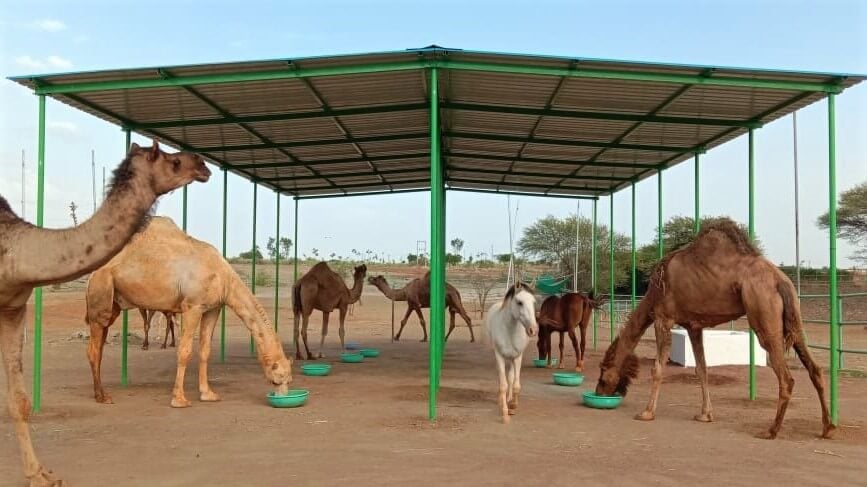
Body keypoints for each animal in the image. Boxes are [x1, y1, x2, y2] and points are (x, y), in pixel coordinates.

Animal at [0, 139, 210, 486]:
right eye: (172, 161)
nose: (203, 164)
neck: (14, 250)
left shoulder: (12, 308)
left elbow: (20, 400)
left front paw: (40, 475)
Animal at [86, 217, 294, 408]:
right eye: (278, 378)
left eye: (289, 380)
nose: (284, 396)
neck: (224, 277)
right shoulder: (192, 306)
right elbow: (184, 351)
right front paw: (179, 399)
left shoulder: (213, 308)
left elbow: (205, 351)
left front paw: (208, 394)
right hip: (101, 288)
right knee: (94, 349)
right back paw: (102, 397)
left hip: (113, 303)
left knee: (99, 345)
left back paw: (100, 393)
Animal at [484, 282, 540, 424]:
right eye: (519, 302)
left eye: (533, 302)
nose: (533, 330)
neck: (509, 331)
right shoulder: (499, 356)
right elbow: (503, 384)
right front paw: (505, 413)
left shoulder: (517, 357)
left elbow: (515, 385)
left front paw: (513, 406)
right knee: (502, 379)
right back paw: (502, 401)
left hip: (511, 358)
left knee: (510, 377)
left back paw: (509, 400)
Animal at [596, 219, 836, 440]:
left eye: (603, 370)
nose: (599, 390)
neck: (652, 294)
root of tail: (781, 280)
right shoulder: (693, 326)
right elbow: (701, 368)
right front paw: (705, 415)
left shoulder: (663, 318)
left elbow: (657, 368)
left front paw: (646, 413)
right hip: (795, 317)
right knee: (815, 368)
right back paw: (827, 428)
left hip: (763, 312)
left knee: (786, 377)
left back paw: (771, 430)